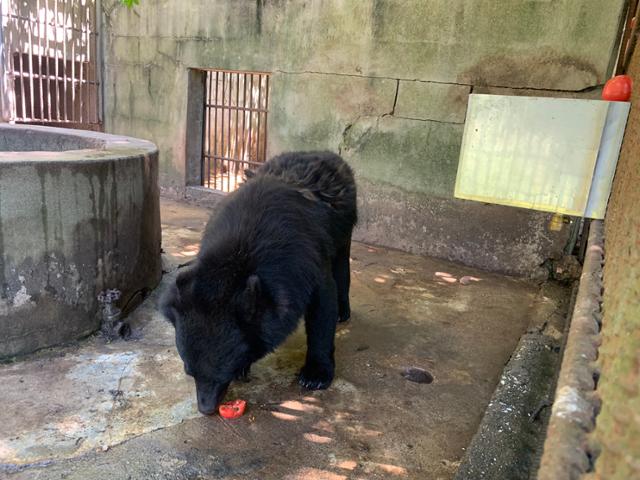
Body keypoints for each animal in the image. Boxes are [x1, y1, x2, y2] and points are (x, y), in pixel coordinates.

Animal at [160, 152, 358, 414]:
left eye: (223, 374)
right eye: (189, 371)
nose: (206, 408)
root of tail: (324, 154)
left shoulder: (307, 260)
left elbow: (323, 306)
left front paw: (315, 375)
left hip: (344, 228)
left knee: (342, 267)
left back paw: (343, 312)